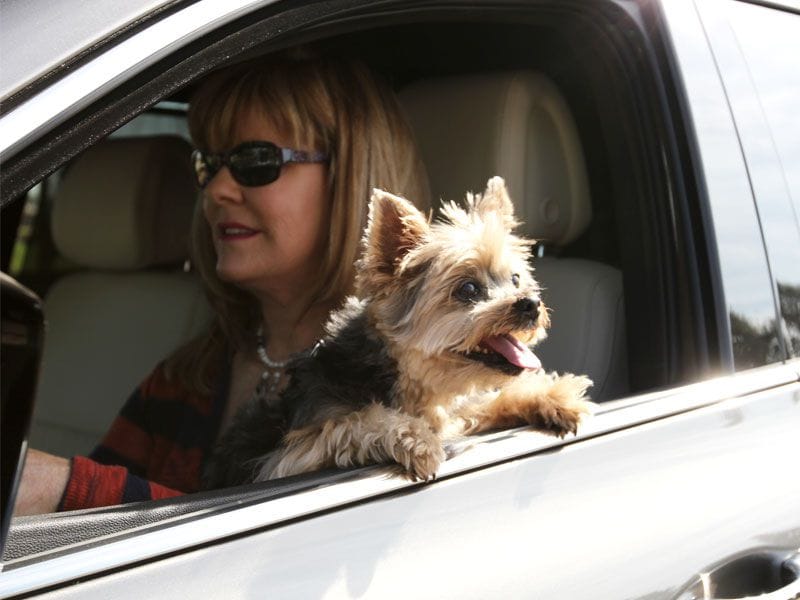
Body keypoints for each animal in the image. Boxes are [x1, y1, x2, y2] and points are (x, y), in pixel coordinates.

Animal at [205, 175, 592, 488]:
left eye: (515, 279)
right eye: (467, 289)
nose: (531, 304)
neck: (403, 377)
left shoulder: (451, 413)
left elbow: (485, 402)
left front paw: (551, 396)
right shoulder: (288, 457)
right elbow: (354, 421)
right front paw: (414, 438)